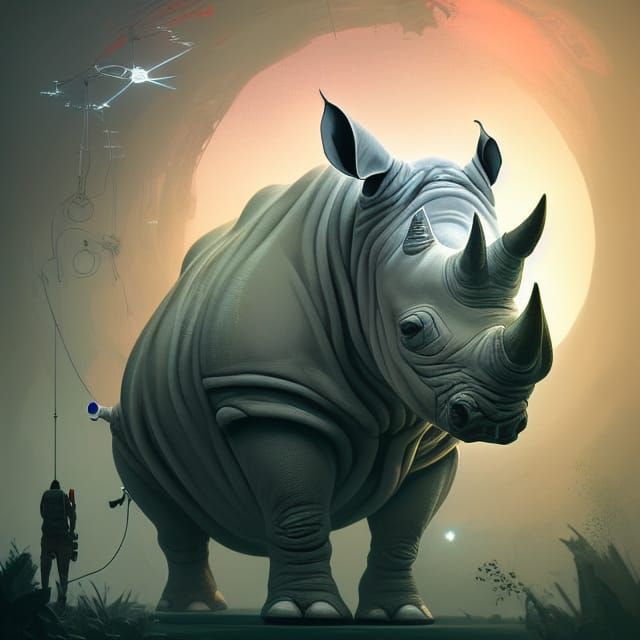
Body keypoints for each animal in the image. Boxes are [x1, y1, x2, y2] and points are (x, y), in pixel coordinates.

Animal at [95, 94, 552, 624]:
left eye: (521, 314)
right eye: (410, 331)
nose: (498, 420)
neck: (359, 249)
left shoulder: (432, 436)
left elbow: (404, 530)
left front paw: (399, 613)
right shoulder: (270, 395)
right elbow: (299, 509)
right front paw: (306, 611)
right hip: (133, 424)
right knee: (164, 505)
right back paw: (191, 609)